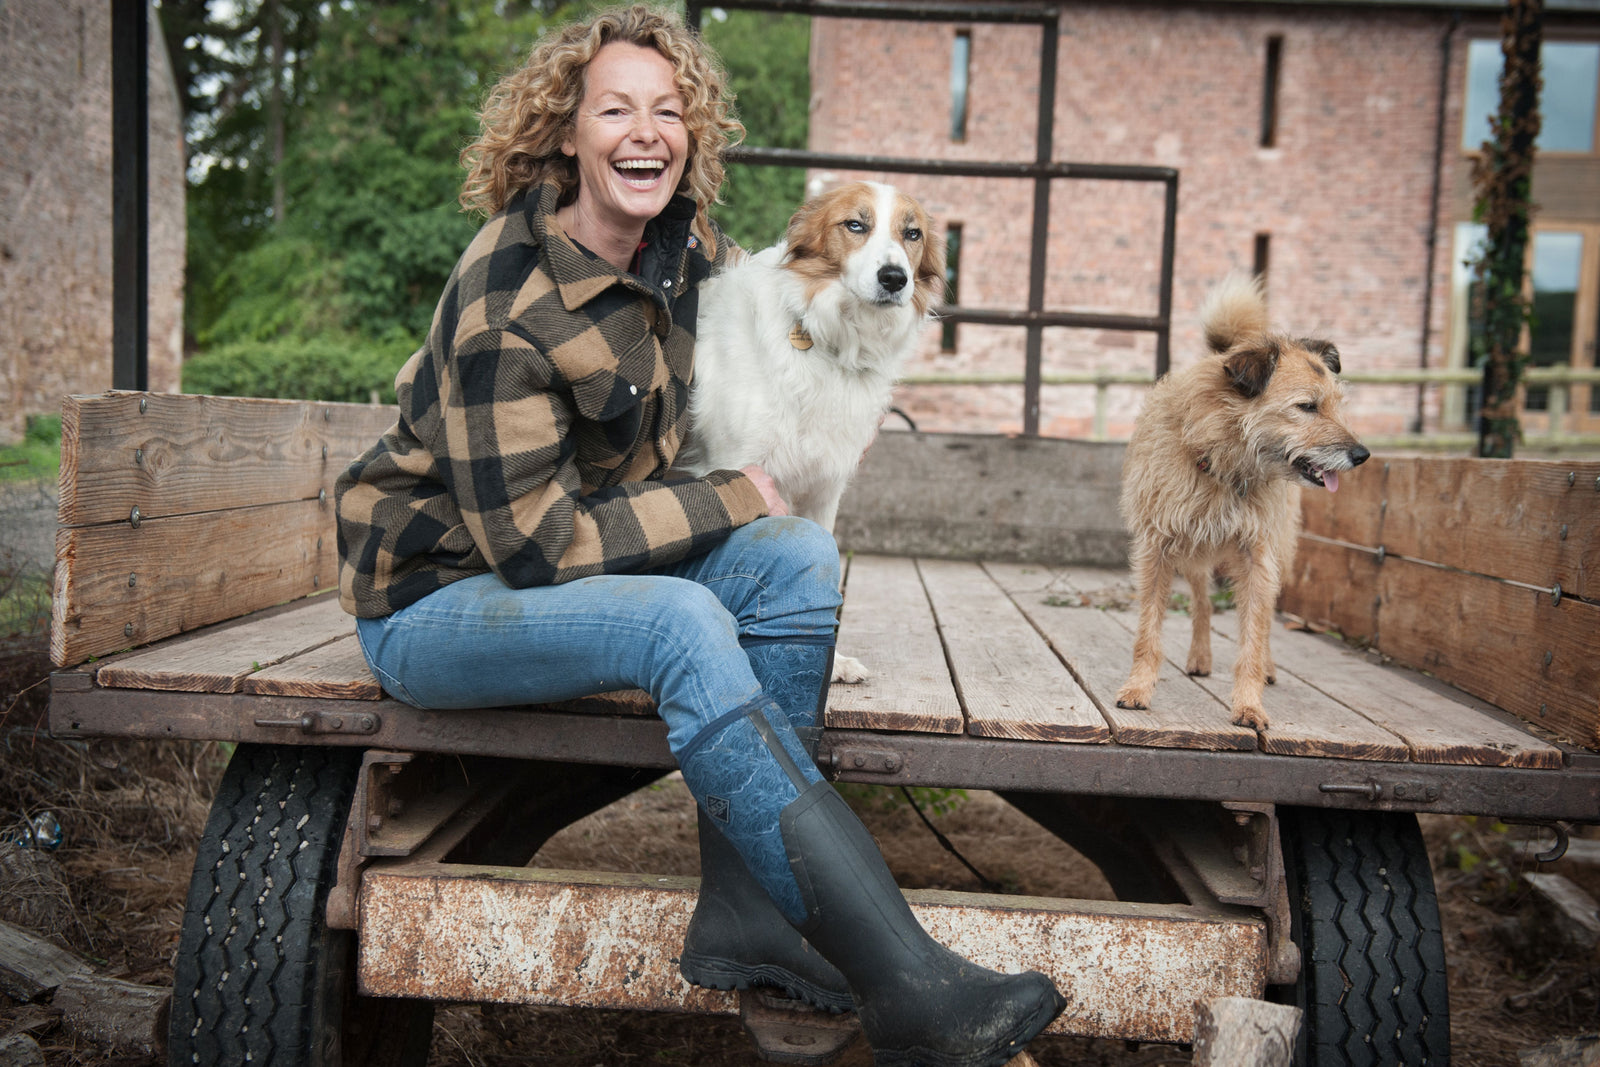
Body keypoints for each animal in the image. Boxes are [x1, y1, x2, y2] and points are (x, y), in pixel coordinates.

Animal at [1120, 275, 1369, 729]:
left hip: (1278, 555)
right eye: (1307, 407)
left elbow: (1253, 636)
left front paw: (1249, 705)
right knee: (1202, 601)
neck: (1223, 461)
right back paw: (1200, 657)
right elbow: (1148, 631)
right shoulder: (1156, 549)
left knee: (1265, 620)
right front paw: (1137, 689)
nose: (1362, 455)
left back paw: (1267, 668)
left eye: (1338, 405)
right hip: (1193, 554)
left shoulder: (1259, 556)